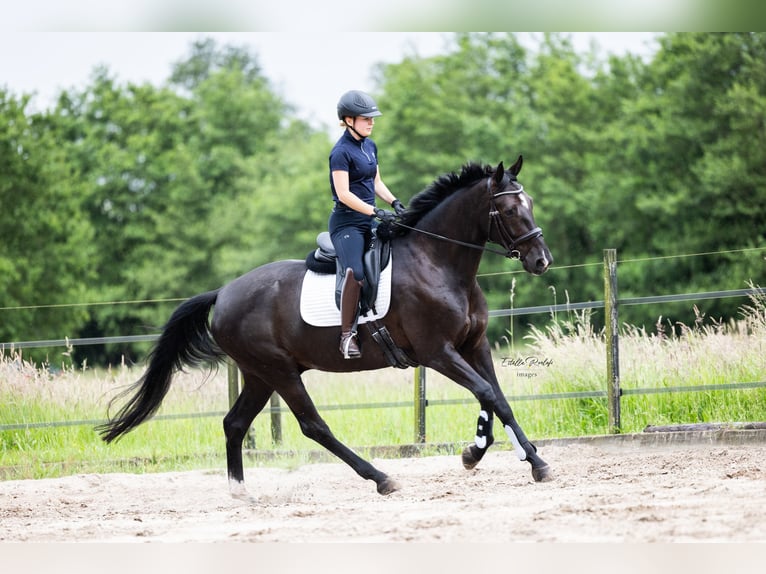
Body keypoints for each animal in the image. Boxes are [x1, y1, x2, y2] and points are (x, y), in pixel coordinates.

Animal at [99, 156, 556, 500]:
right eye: (511, 210)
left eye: (532, 202)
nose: (541, 261)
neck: (438, 262)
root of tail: (223, 293)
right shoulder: (438, 352)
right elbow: (487, 394)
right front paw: (506, 458)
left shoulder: (474, 345)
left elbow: (496, 398)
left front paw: (503, 456)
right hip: (279, 371)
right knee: (313, 425)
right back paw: (381, 479)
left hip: (260, 375)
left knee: (234, 423)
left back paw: (240, 491)